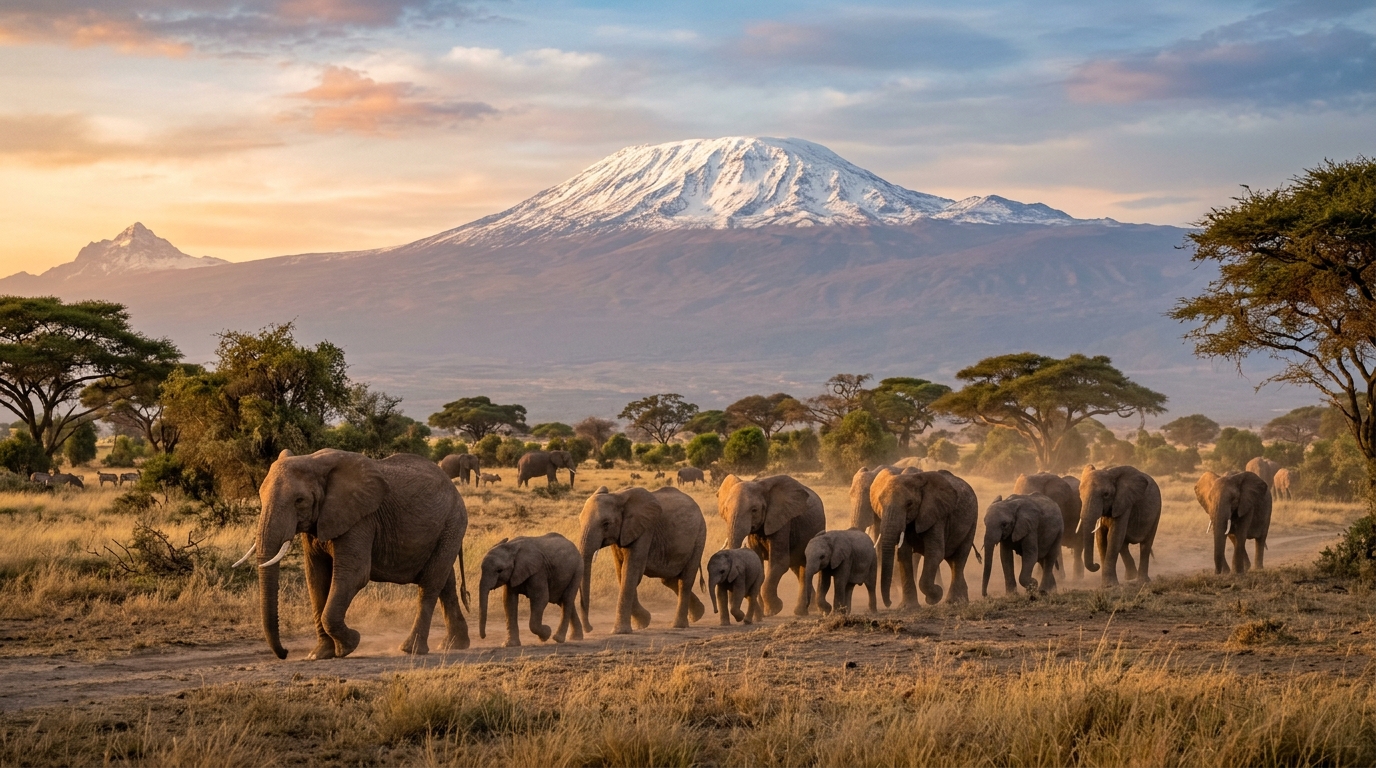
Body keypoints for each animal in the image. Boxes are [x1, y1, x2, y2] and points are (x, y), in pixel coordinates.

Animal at [234, 448, 470, 660]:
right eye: (260, 496)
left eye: (299, 500)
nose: (285, 653)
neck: (314, 461)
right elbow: (316, 578)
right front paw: (319, 655)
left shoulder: (361, 519)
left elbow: (354, 575)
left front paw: (350, 644)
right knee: (446, 582)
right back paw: (453, 645)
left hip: (453, 523)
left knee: (430, 583)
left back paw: (411, 650)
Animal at [578, 486, 706, 634]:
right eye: (579, 521)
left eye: (606, 524)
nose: (589, 628)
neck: (617, 496)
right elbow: (621, 572)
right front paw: (643, 622)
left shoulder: (645, 530)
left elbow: (631, 571)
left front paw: (620, 631)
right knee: (669, 580)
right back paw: (698, 614)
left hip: (699, 536)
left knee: (685, 580)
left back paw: (679, 625)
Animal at [717, 474, 826, 616]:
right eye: (726, 509)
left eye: (754, 510)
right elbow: (758, 565)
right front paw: (760, 614)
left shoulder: (781, 521)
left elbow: (779, 562)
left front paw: (773, 610)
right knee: (797, 567)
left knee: (804, 567)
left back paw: (801, 612)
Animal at [872, 469, 978, 608]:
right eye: (880, 502)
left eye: (909, 504)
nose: (889, 603)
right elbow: (904, 555)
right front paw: (907, 607)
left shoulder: (936, 515)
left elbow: (935, 553)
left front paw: (935, 597)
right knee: (952, 561)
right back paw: (961, 600)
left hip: (973, 520)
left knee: (959, 557)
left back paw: (954, 601)